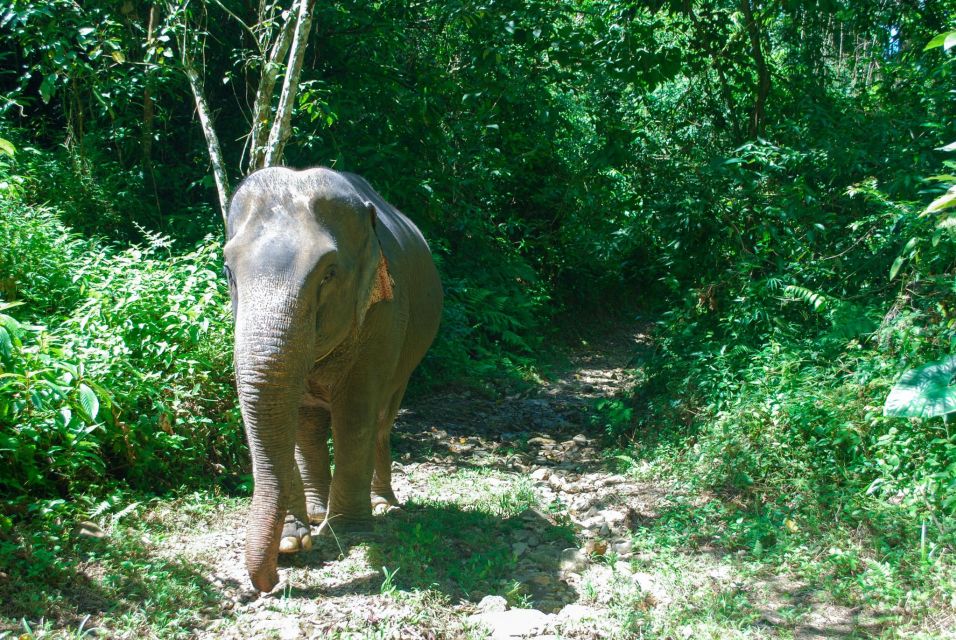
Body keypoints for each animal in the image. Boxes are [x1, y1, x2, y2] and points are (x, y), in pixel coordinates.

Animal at [222, 167, 443, 592]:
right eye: (228, 271)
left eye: (328, 274)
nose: (275, 576)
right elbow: (292, 418)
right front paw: (295, 537)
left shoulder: (385, 315)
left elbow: (355, 415)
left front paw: (349, 532)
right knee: (310, 426)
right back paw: (316, 509)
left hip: (410, 357)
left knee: (381, 420)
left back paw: (382, 504)